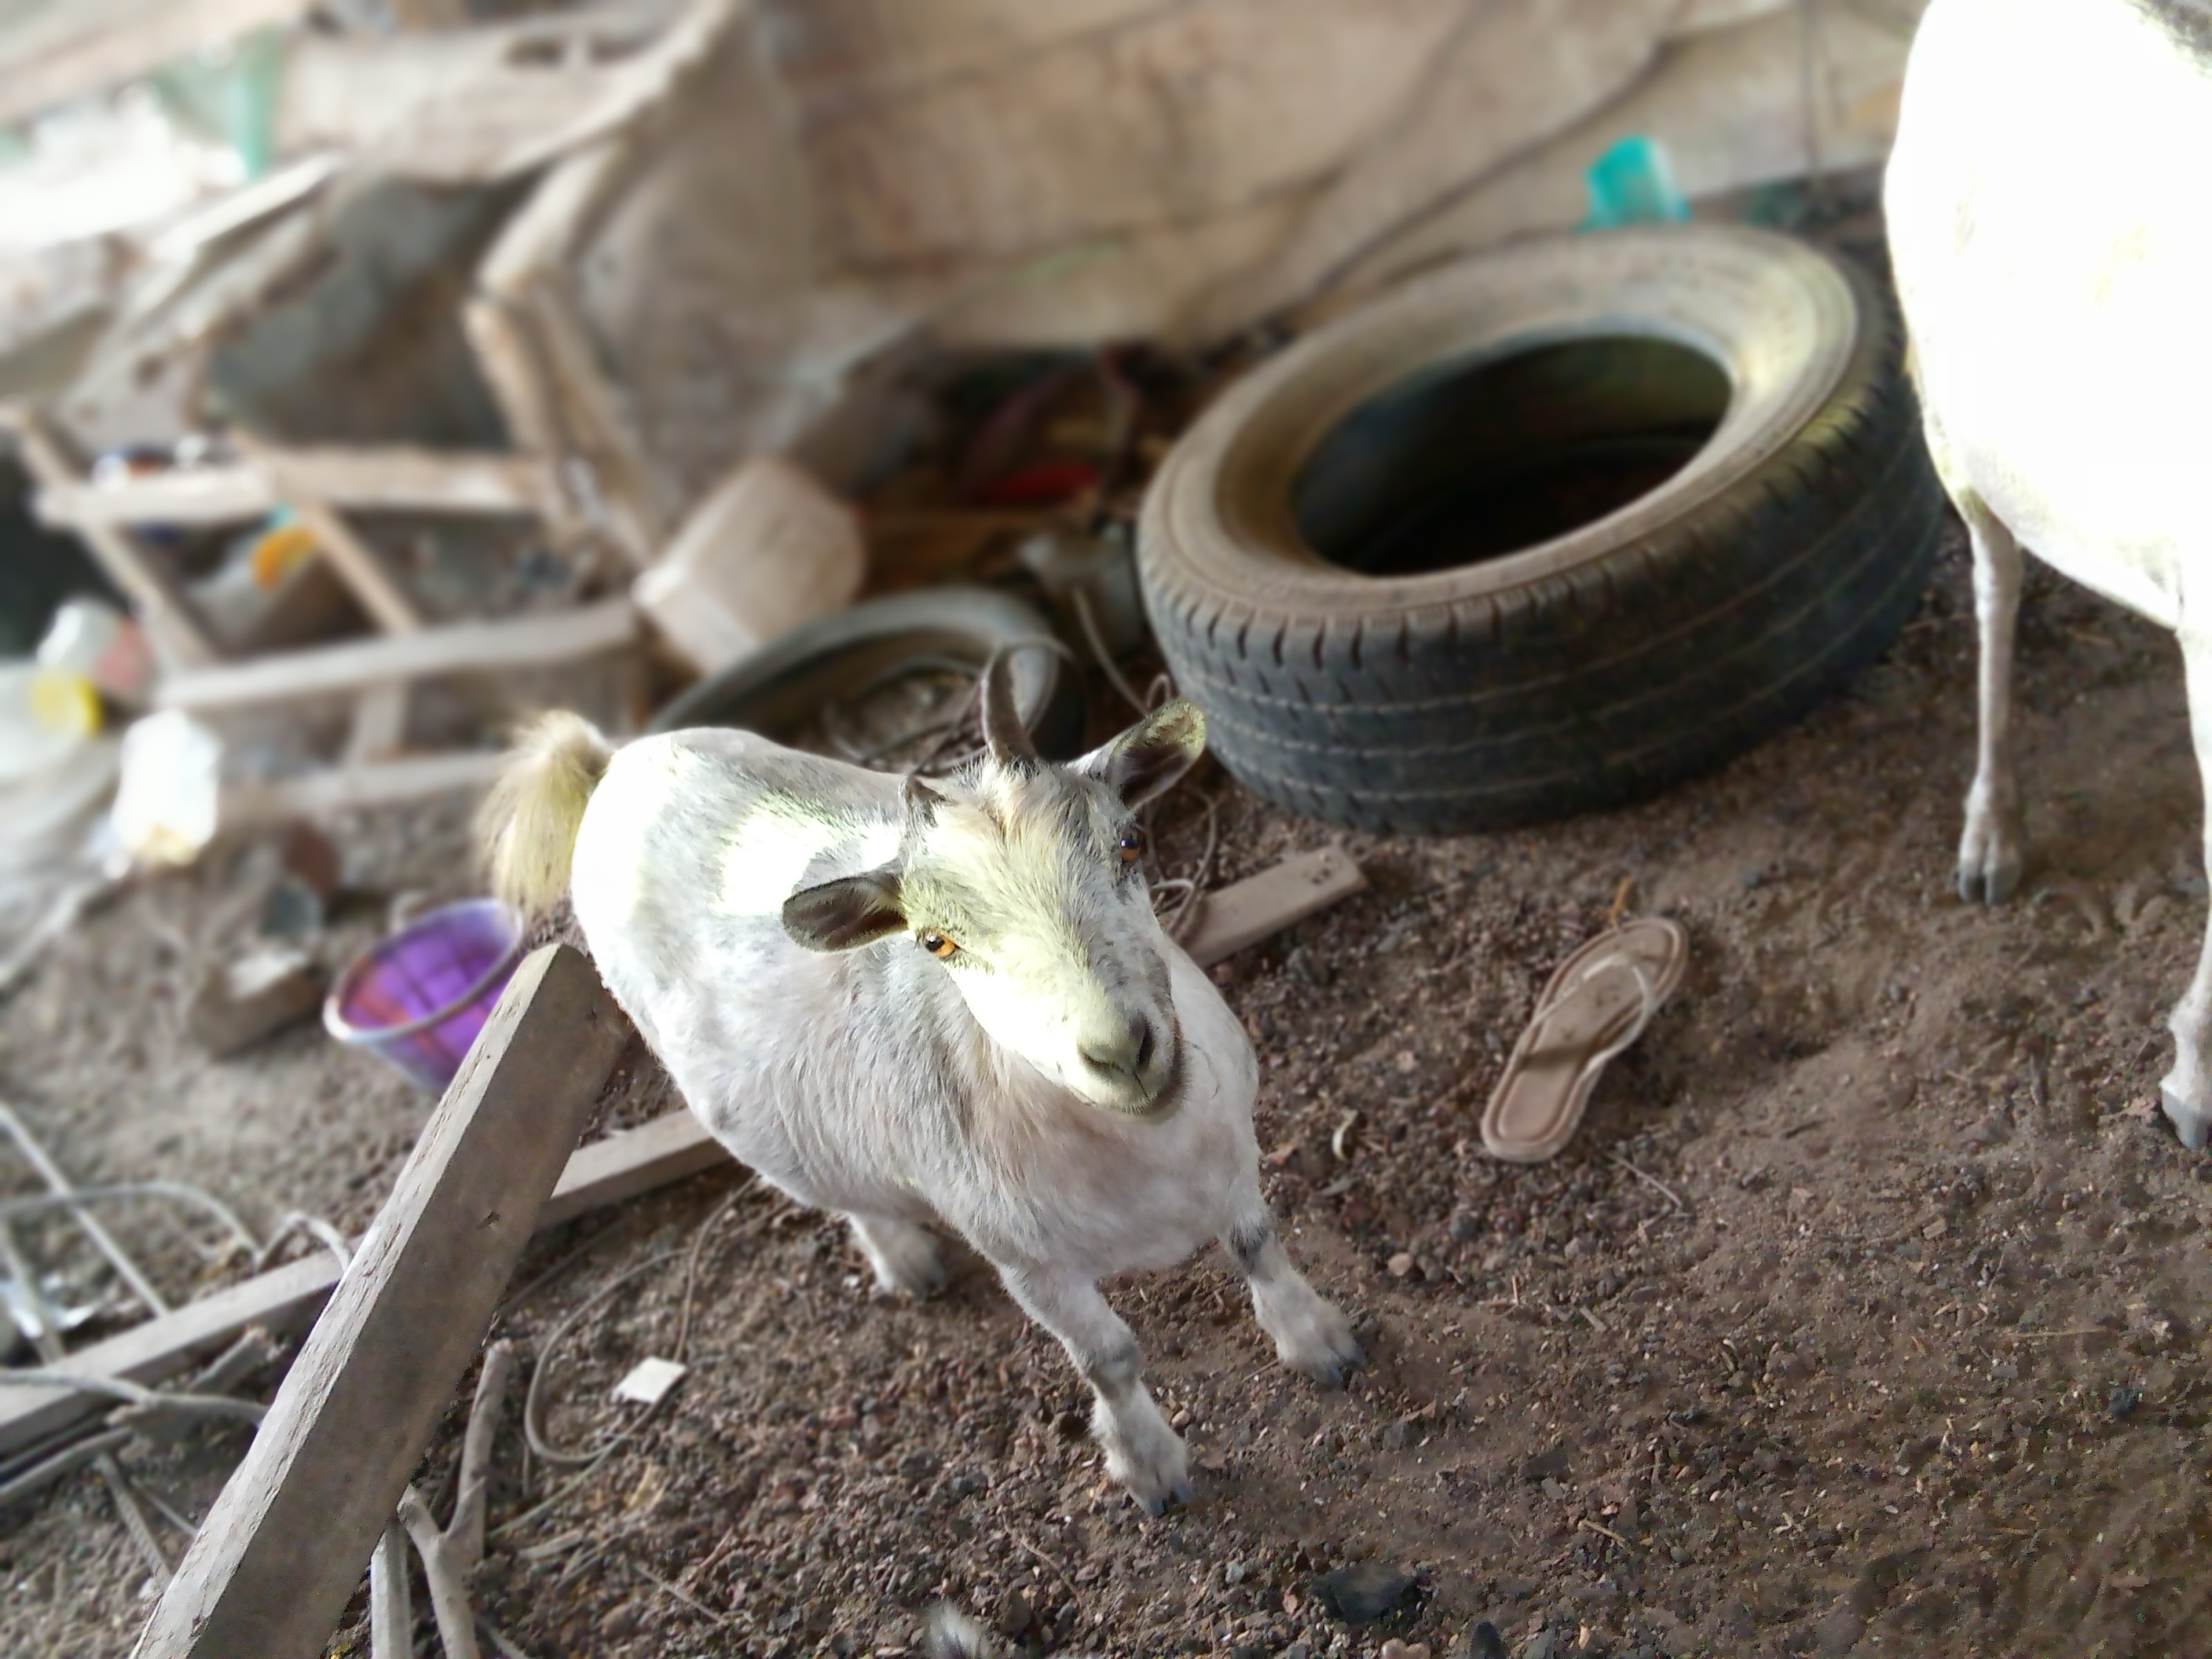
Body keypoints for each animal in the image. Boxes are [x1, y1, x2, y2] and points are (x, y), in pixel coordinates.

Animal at [479, 662, 1362, 1509]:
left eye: (1132, 842)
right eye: (936, 941)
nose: (1122, 1052)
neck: (1153, 1155)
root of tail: (613, 763)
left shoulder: (1233, 1153)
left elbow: (1257, 1243)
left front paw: (1320, 1343)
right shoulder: (1026, 1260)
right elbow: (1108, 1358)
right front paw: (1149, 1468)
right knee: (828, 1187)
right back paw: (903, 1259)